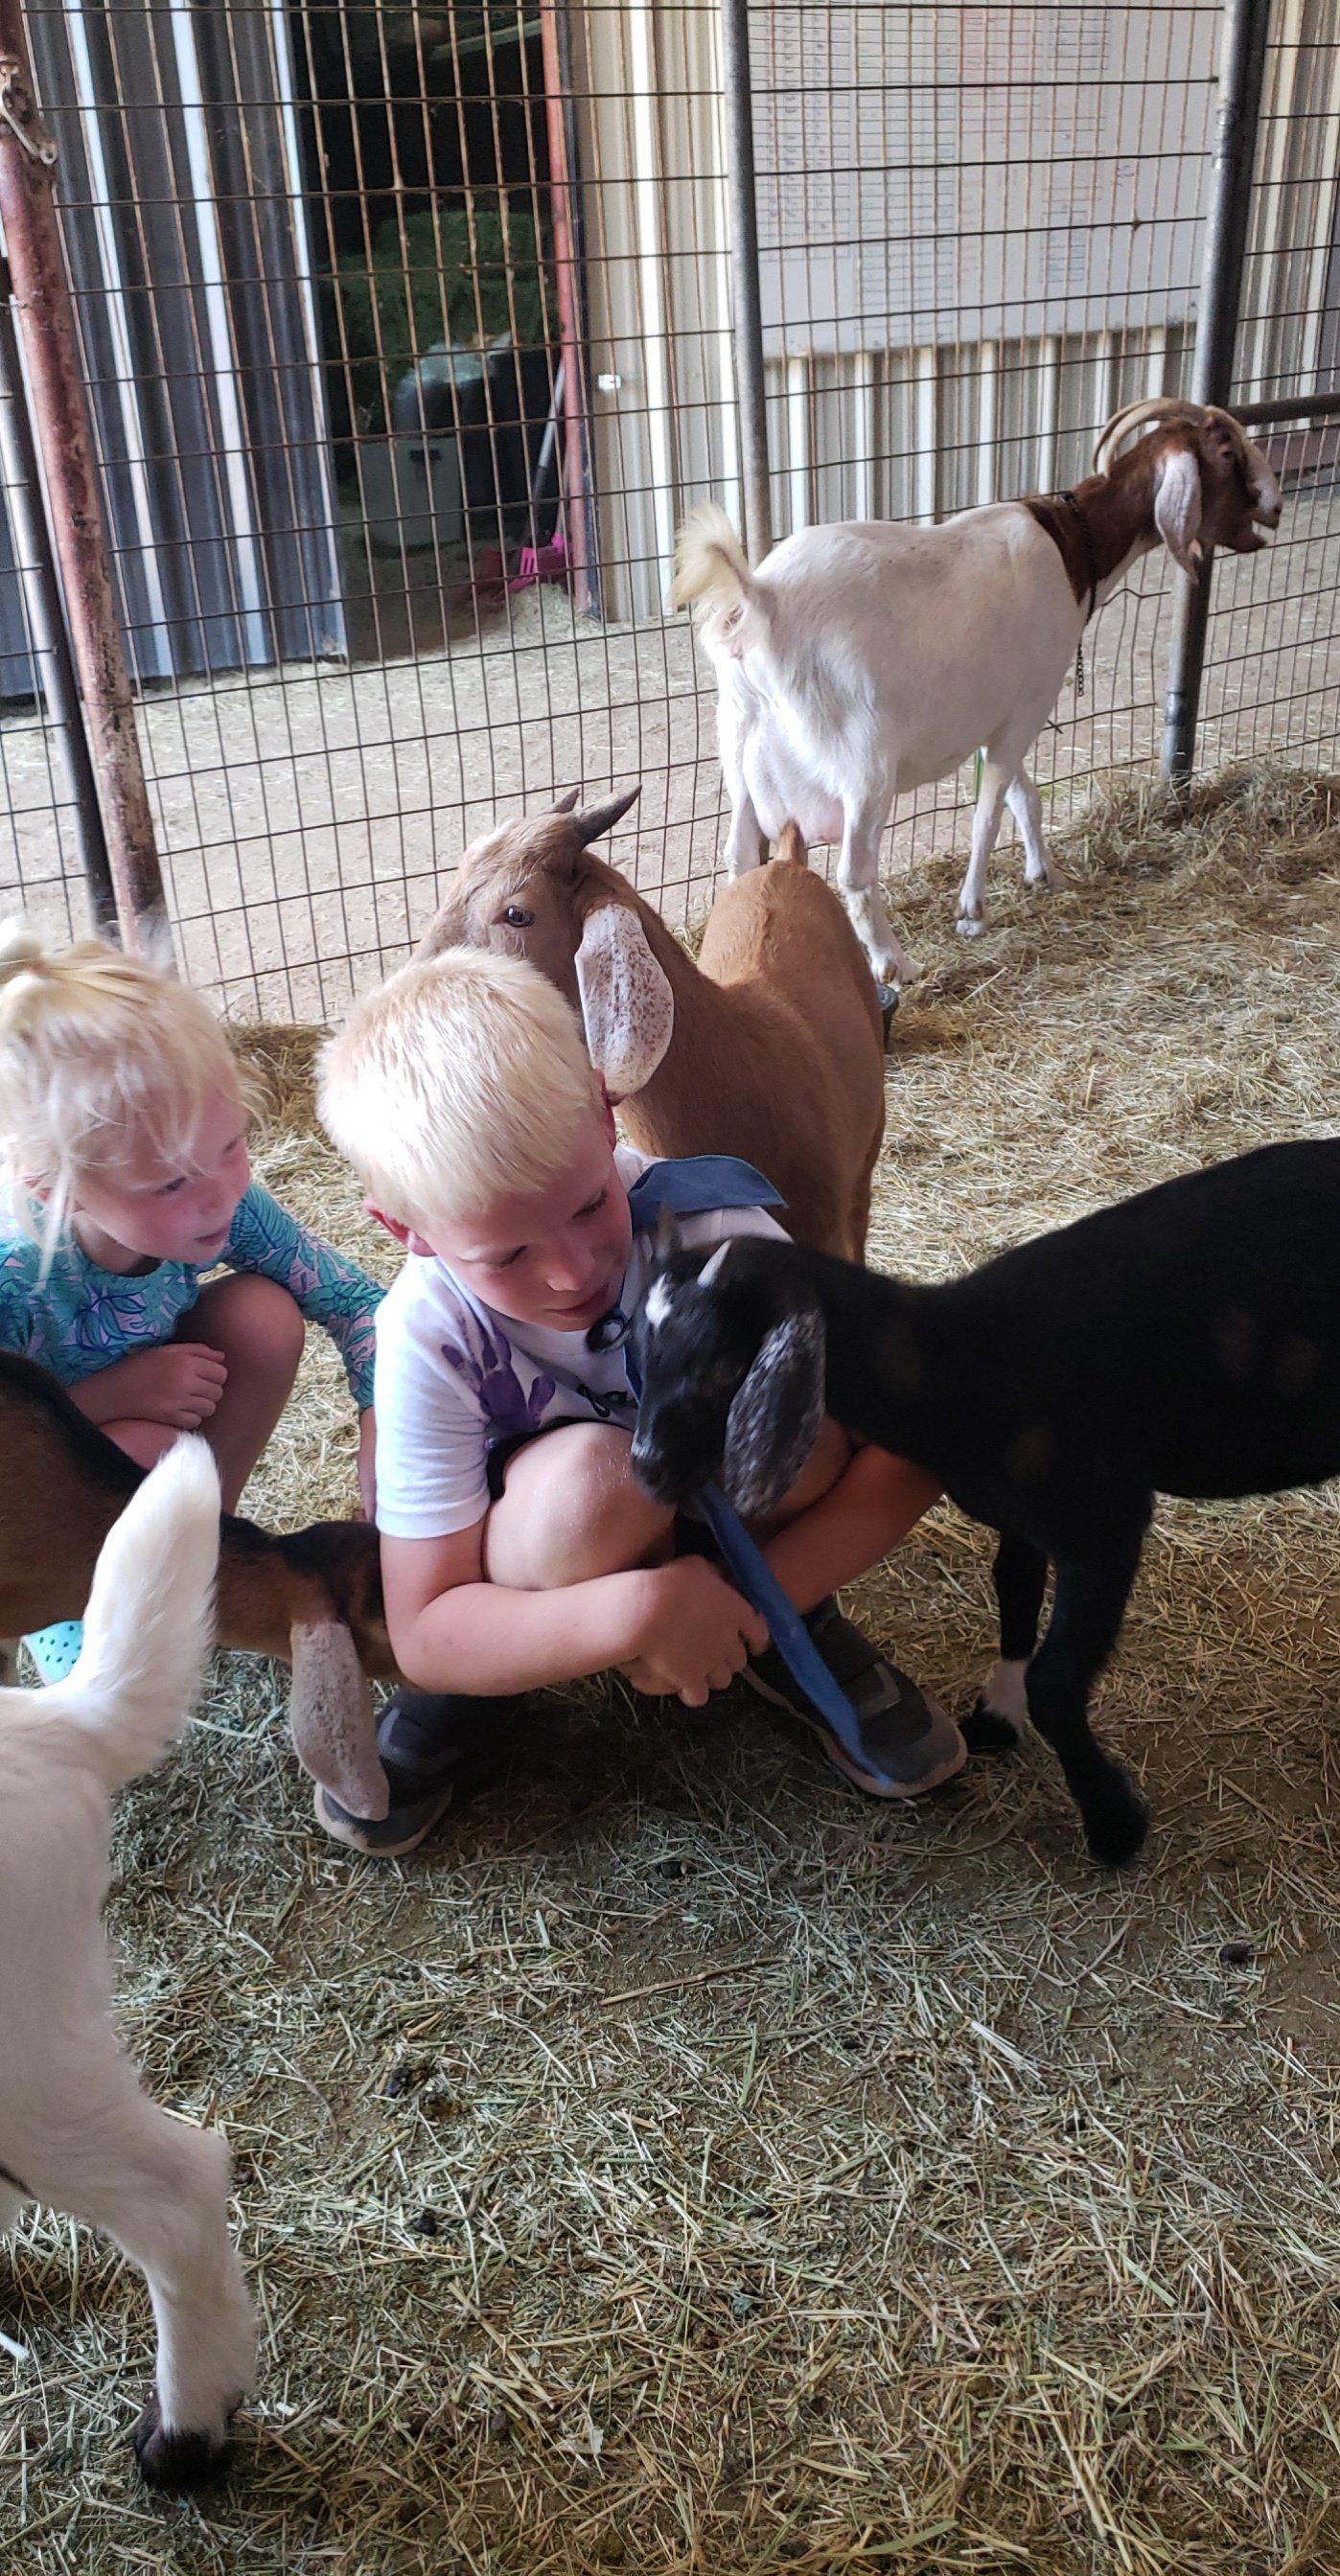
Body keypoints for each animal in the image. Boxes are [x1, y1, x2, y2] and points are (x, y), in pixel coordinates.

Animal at [627, 1138, 1340, 1869]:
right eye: (638, 1352)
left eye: (721, 1367)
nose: (646, 1467)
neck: (955, 1364)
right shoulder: (1023, 1516)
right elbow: (1014, 1590)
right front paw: (999, 1713)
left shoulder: (1103, 1522)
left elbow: (1057, 1681)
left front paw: (1114, 1824)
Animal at [672, 398, 1283, 979]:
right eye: (1226, 452)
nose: (1275, 506)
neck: (1073, 547)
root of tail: (763, 598)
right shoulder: (1028, 704)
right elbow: (990, 812)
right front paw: (973, 909)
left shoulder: (998, 717)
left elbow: (1023, 796)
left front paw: (1045, 874)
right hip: (861, 764)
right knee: (855, 871)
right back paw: (895, 963)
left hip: (740, 743)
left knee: (738, 854)